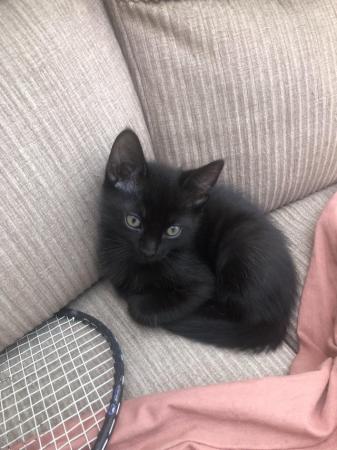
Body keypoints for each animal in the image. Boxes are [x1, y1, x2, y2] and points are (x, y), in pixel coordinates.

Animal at [98, 128, 296, 350]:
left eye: (173, 230)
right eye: (133, 221)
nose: (149, 251)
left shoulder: (202, 282)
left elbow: (142, 308)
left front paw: (139, 297)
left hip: (242, 247)